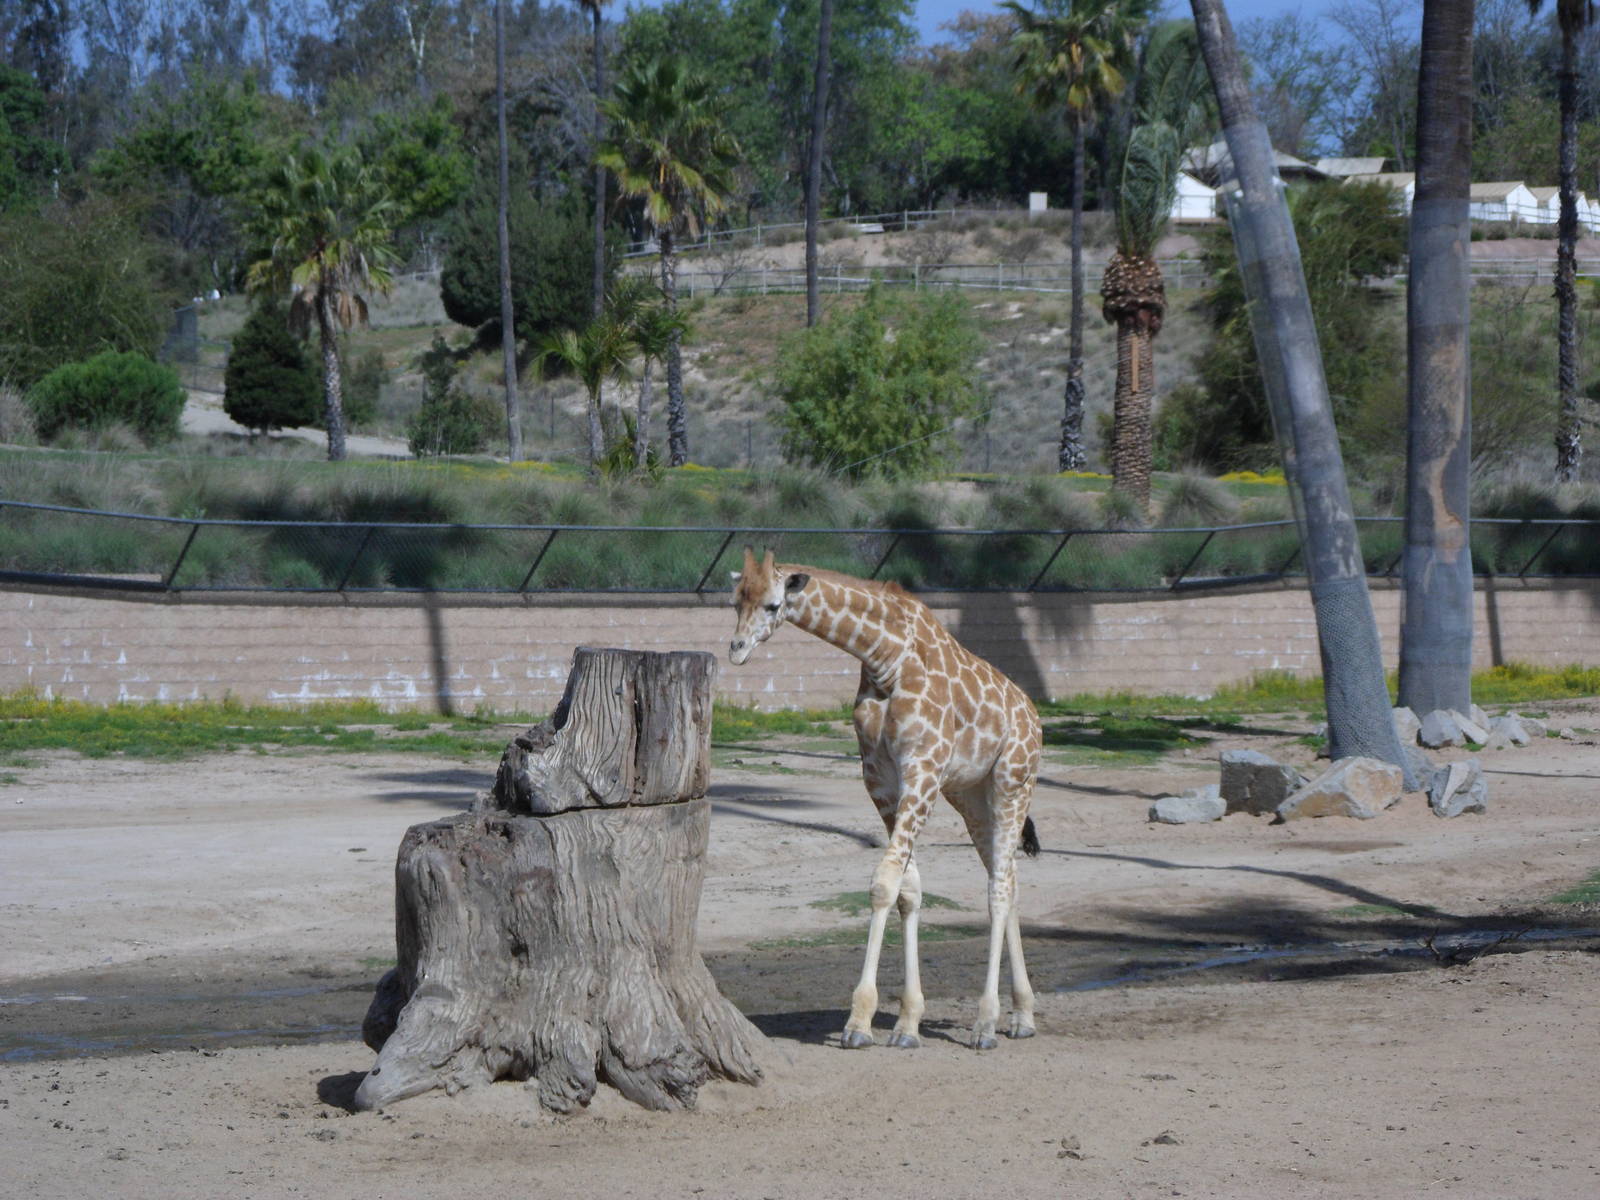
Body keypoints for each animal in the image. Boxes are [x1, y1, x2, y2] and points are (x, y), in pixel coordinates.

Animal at [729, 547, 1041, 1050]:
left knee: (998, 888)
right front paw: (907, 1022)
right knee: (1008, 879)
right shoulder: (881, 779)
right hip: (972, 796)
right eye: (735, 601)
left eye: (773, 604)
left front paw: (858, 1023)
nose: (736, 650)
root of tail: (1034, 716)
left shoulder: (923, 769)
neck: (885, 657)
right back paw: (1022, 1016)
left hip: (1013, 781)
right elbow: (906, 889)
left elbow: (883, 882)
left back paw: (986, 1023)